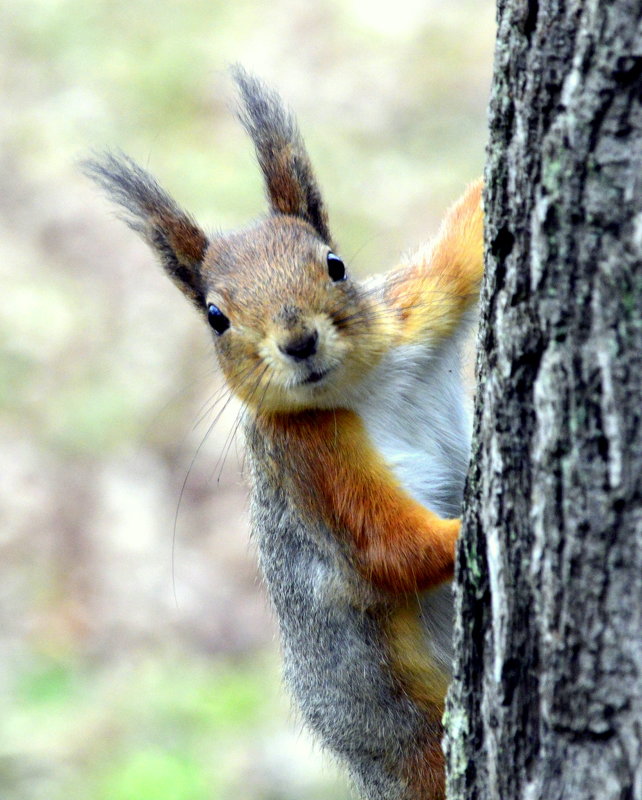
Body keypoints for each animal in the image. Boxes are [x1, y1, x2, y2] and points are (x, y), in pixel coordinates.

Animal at [85, 69, 482, 800]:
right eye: (215, 315)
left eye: (335, 264)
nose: (299, 340)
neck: (359, 386)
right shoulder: (308, 457)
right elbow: (385, 547)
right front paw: (469, 531)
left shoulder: (416, 312)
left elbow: (462, 246)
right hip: (415, 738)